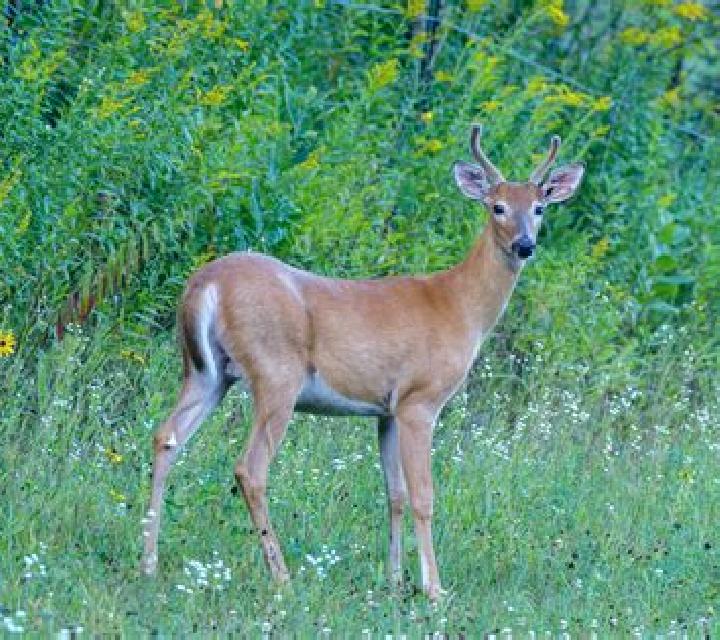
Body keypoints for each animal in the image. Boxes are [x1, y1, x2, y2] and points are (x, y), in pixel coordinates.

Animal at [140, 124, 584, 600]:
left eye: (539, 208)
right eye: (497, 206)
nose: (525, 245)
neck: (459, 305)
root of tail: (205, 284)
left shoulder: (386, 410)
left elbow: (395, 494)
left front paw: (394, 579)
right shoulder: (419, 401)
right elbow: (423, 496)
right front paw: (434, 589)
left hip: (207, 373)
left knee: (167, 437)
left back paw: (148, 563)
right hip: (276, 373)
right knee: (250, 468)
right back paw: (282, 577)